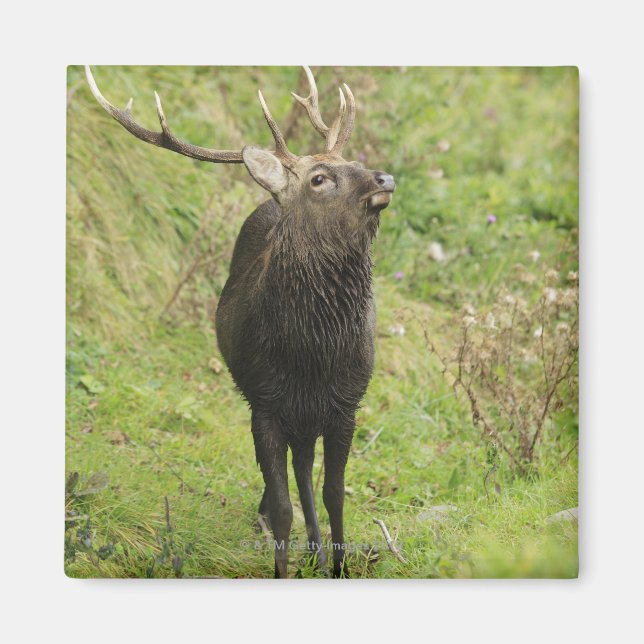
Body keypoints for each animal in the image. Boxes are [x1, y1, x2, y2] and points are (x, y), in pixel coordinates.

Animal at [85, 65, 395, 578]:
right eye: (320, 178)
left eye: (352, 159)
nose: (384, 177)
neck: (311, 357)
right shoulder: (265, 402)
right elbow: (285, 504)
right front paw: (284, 565)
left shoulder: (347, 404)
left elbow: (335, 495)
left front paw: (338, 567)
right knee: (291, 474)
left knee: (304, 467)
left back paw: (315, 551)